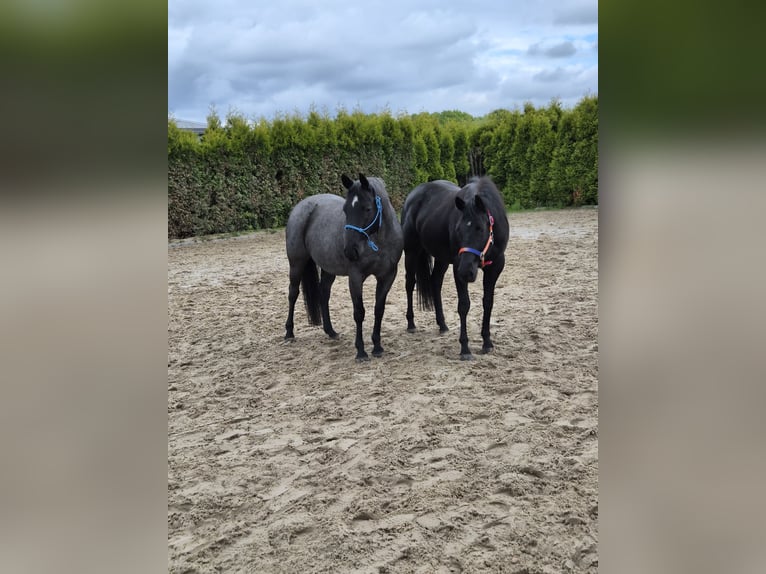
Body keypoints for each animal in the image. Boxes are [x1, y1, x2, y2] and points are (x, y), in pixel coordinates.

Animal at [284, 174, 404, 361]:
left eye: (367, 209)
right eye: (345, 210)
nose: (350, 251)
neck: (379, 242)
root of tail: (302, 205)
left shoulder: (387, 276)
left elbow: (379, 310)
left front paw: (377, 347)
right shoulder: (355, 277)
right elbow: (359, 312)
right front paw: (361, 351)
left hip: (328, 269)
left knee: (323, 294)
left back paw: (330, 331)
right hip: (297, 264)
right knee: (293, 294)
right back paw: (289, 333)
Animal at [401, 177, 509, 360]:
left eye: (480, 228)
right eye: (458, 228)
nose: (467, 271)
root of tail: (413, 195)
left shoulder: (495, 268)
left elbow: (488, 303)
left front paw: (487, 342)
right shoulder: (458, 267)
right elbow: (464, 305)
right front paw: (465, 348)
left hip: (442, 259)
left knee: (435, 283)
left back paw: (442, 324)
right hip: (411, 252)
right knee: (409, 284)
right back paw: (411, 323)